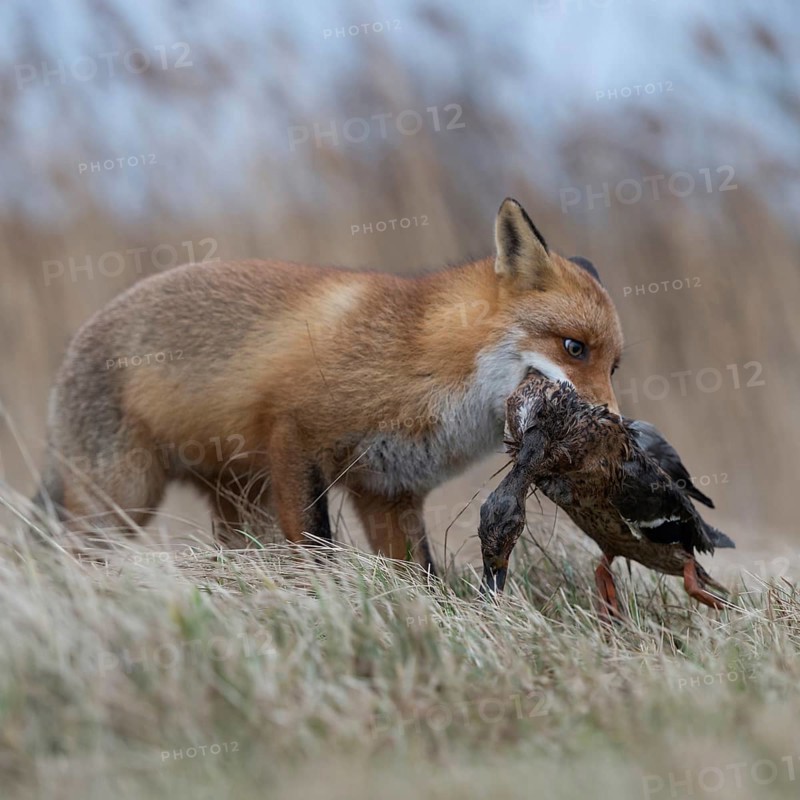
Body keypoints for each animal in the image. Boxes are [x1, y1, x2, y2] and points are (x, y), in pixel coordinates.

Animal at [33, 198, 624, 572]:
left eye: (615, 366)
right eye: (574, 347)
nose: (613, 424)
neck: (423, 357)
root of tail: (74, 345)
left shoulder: (389, 491)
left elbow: (420, 574)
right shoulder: (295, 434)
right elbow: (316, 544)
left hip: (241, 502)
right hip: (123, 500)